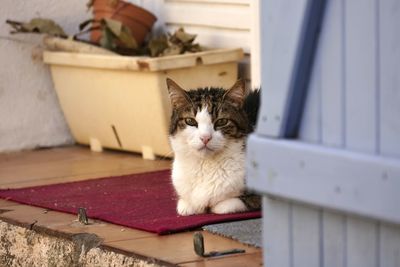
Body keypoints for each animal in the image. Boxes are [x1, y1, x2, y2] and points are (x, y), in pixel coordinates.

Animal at [165, 78, 260, 216]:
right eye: (190, 121)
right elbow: (186, 203)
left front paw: (216, 206)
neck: (205, 165)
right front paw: (187, 205)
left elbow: (228, 204)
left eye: (221, 121)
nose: (205, 137)